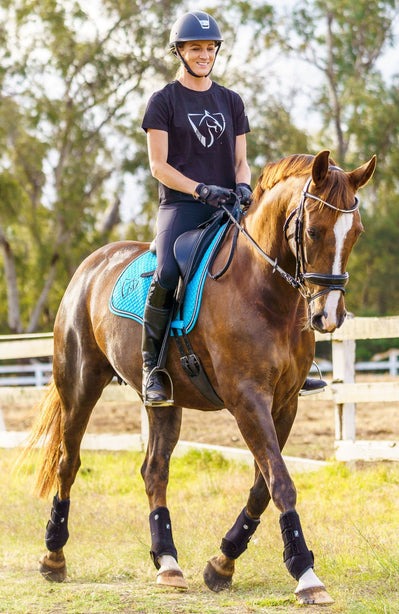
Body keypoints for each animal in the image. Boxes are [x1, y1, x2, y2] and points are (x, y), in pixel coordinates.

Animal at [23, 150, 376, 608]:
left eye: (356, 234)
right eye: (314, 231)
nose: (327, 317)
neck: (263, 291)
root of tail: (91, 264)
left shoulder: (285, 403)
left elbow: (263, 486)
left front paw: (222, 563)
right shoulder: (247, 399)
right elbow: (281, 482)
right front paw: (305, 573)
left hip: (164, 403)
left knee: (154, 470)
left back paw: (168, 562)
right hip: (79, 387)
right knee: (69, 463)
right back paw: (53, 556)